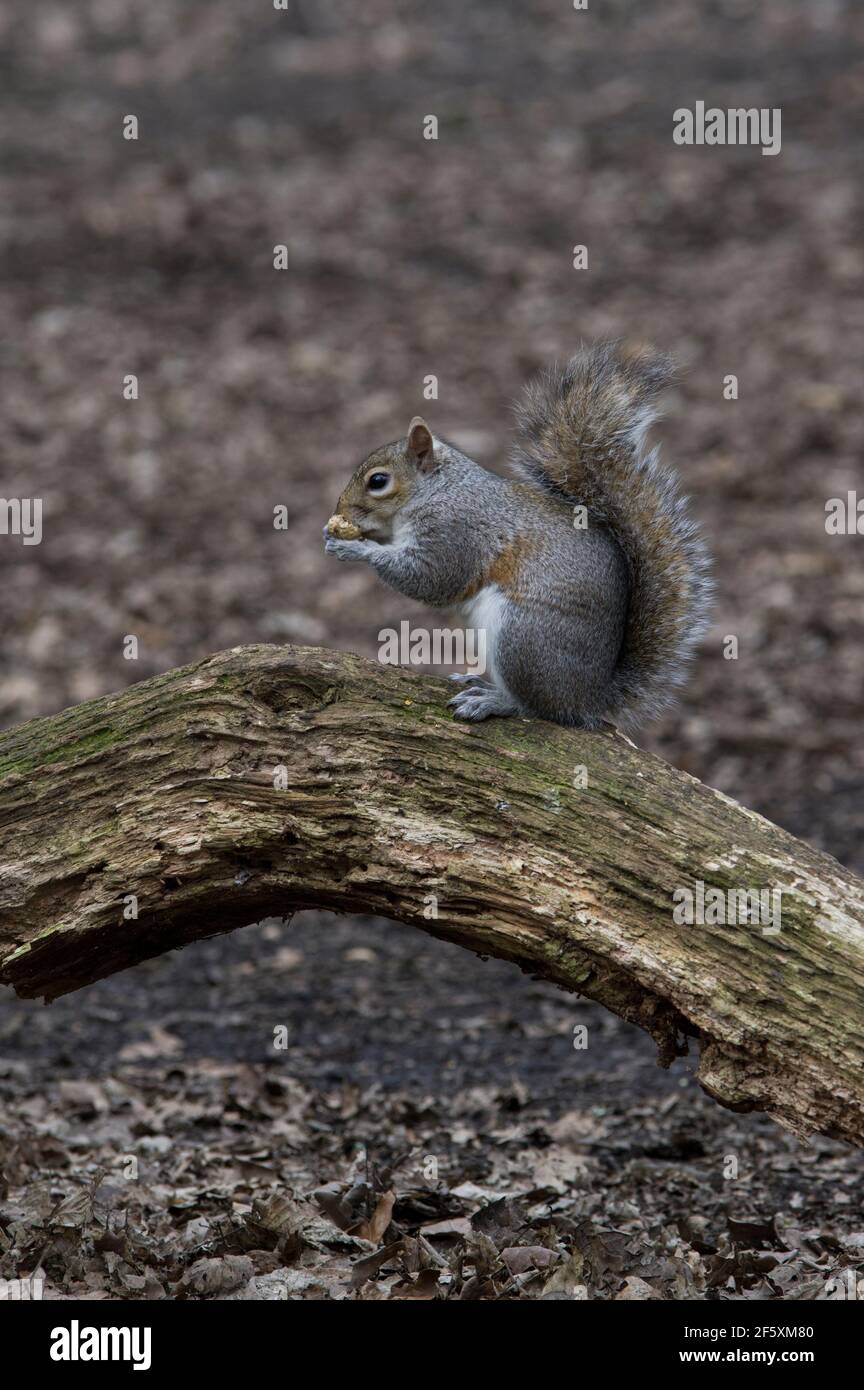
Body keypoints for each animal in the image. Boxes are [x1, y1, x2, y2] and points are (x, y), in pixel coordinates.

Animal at [325, 341, 711, 733]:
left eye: (377, 481)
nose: (339, 510)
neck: (438, 490)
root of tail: (590, 697)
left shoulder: (456, 531)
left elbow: (431, 578)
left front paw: (353, 547)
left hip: (523, 637)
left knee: (540, 709)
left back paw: (494, 700)